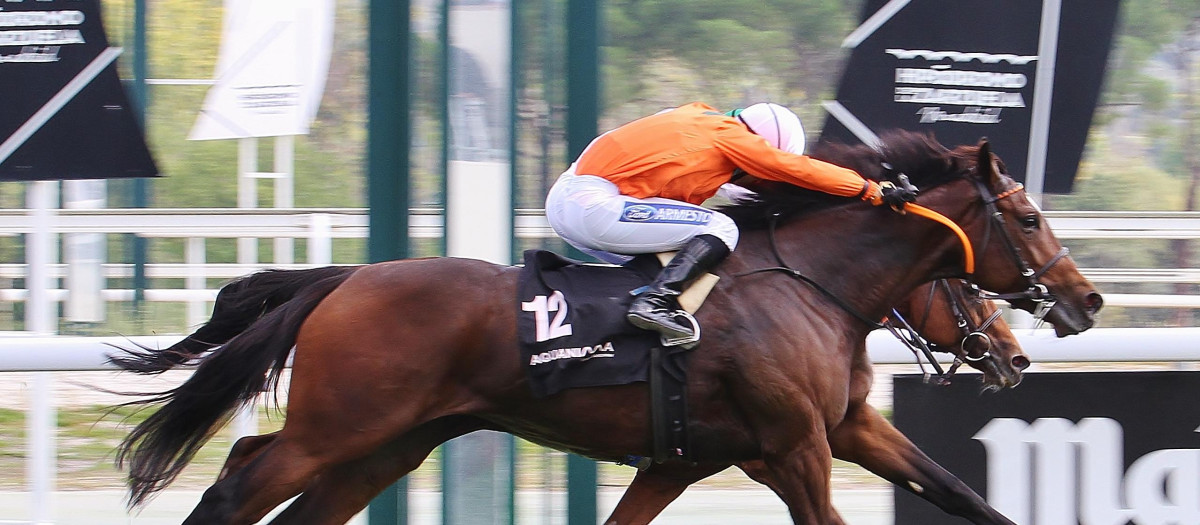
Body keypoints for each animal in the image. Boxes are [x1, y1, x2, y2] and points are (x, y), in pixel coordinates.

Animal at [110, 132, 1099, 525]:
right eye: (1028, 216)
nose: (1085, 303)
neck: (811, 286)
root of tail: (348, 277)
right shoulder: (793, 447)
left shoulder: (802, 436)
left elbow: (965, 495)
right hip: (338, 426)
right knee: (237, 482)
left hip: (388, 443)